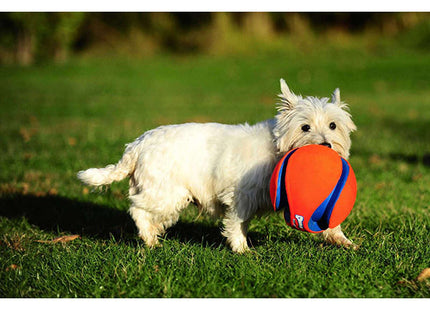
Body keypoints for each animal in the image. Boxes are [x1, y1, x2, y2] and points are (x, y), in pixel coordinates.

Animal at [77, 78, 356, 253]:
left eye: (333, 125)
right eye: (305, 127)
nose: (326, 146)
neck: (277, 148)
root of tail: (138, 144)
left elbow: (330, 221)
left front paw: (344, 241)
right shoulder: (241, 195)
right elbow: (237, 223)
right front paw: (242, 250)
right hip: (166, 194)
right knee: (137, 209)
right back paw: (150, 240)